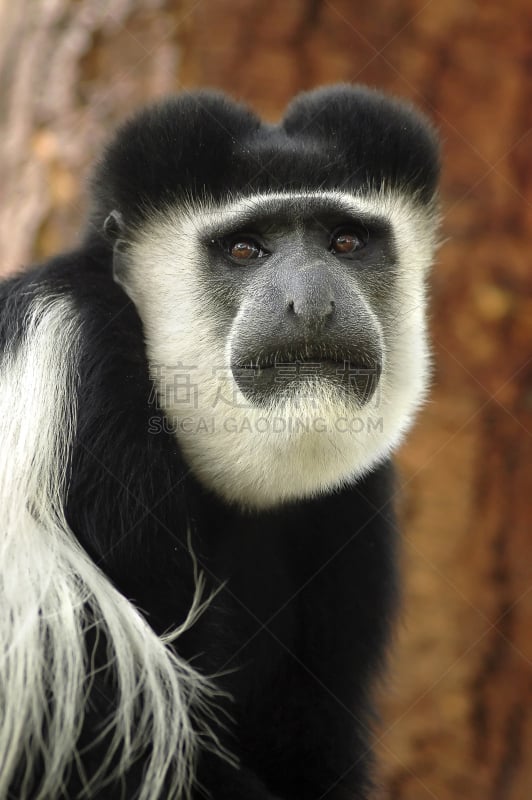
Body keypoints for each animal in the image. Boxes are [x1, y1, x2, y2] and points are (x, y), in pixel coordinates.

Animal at [0, 84, 440, 796]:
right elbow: (120, 724)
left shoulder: (351, 498)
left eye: (345, 241)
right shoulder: (79, 376)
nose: (311, 307)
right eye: (244, 249)